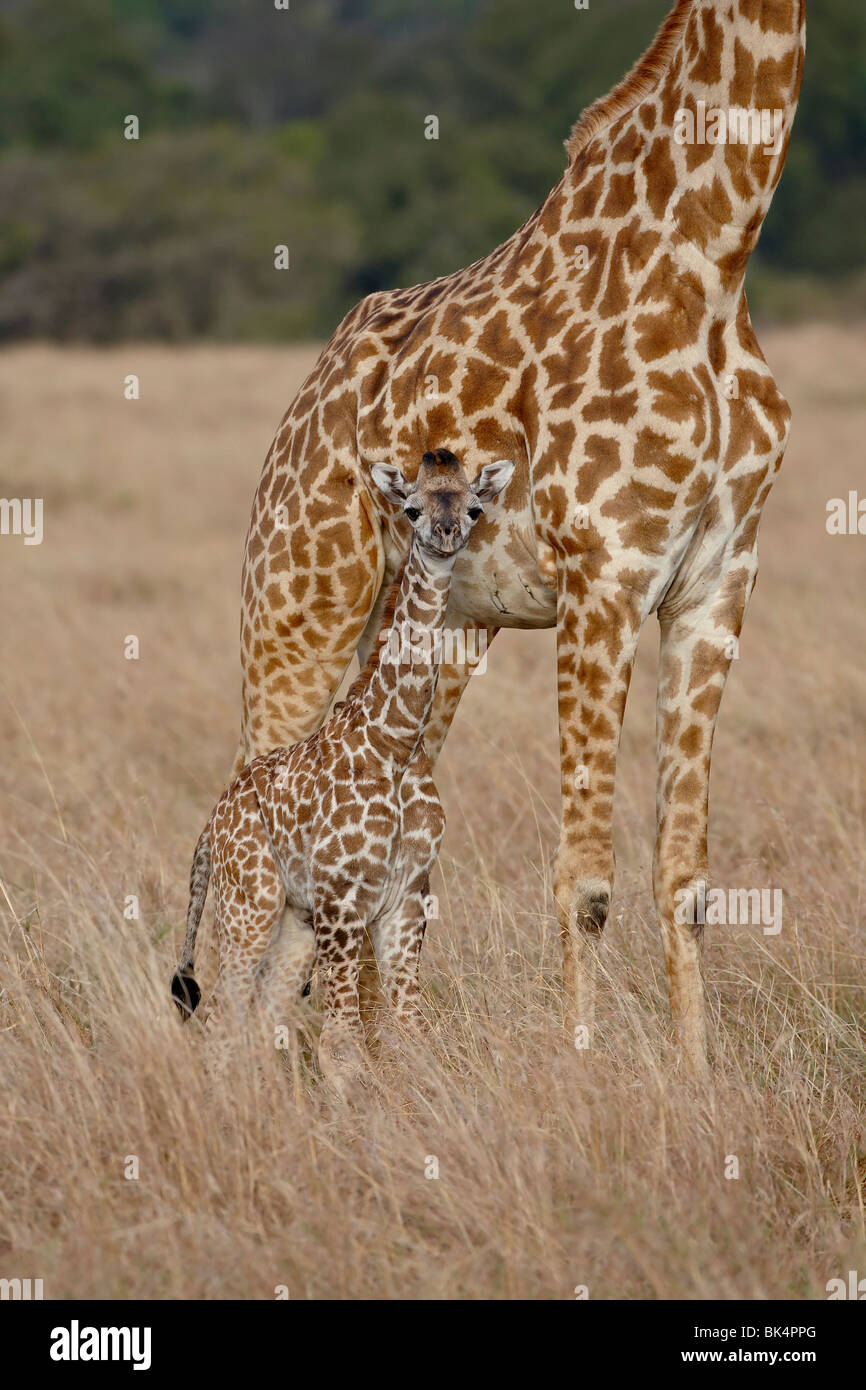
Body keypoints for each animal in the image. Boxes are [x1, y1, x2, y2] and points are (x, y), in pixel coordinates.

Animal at [174, 444, 514, 1084]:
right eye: (411, 508)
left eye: (474, 507)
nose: (445, 534)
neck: (395, 742)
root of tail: (210, 831)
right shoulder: (342, 901)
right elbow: (343, 1048)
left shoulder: (404, 899)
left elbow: (409, 1034)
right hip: (249, 904)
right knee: (221, 1019)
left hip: (292, 921)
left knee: (259, 1019)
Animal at [234, 0, 806, 1067]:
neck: (713, 258)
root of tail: (309, 392)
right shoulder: (605, 573)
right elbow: (583, 878)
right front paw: (583, 1064)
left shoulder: (718, 582)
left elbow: (687, 876)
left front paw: (697, 1075)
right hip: (297, 601)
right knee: (254, 800)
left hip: (445, 633)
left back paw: (368, 1058)